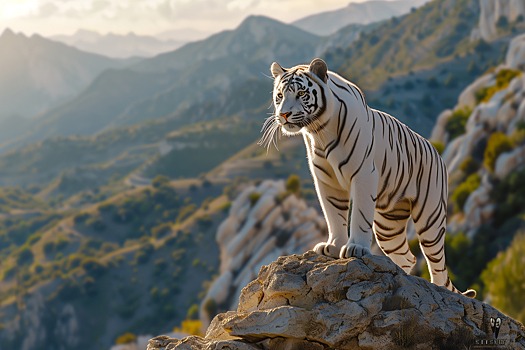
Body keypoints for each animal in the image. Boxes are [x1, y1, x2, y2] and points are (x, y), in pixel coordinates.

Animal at [260, 58, 476, 298]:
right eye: (280, 95)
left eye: (301, 93)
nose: (284, 115)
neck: (319, 132)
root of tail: (437, 152)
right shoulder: (326, 180)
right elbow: (333, 214)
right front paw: (333, 246)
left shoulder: (363, 174)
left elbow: (359, 215)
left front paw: (356, 248)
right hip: (388, 226)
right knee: (407, 257)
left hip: (430, 217)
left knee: (437, 261)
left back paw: (438, 288)